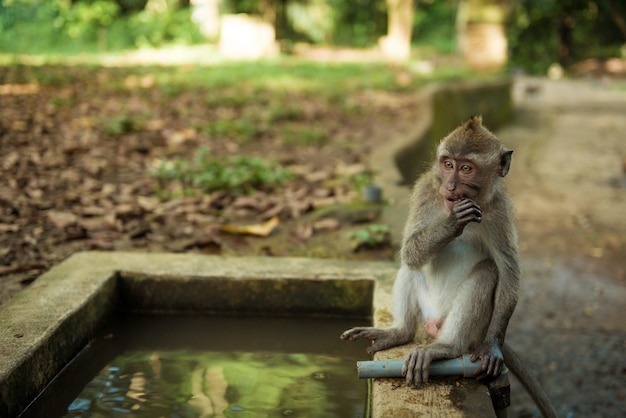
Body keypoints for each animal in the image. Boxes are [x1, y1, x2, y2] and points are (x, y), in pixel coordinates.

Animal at [342, 115, 556, 418]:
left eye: (466, 168)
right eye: (447, 164)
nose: (451, 187)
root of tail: (435, 324)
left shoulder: (501, 211)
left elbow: (508, 271)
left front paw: (493, 347)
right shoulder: (425, 190)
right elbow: (409, 250)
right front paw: (452, 222)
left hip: (469, 330)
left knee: (488, 272)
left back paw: (445, 348)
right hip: (427, 307)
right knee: (410, 266)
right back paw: (400, 332)